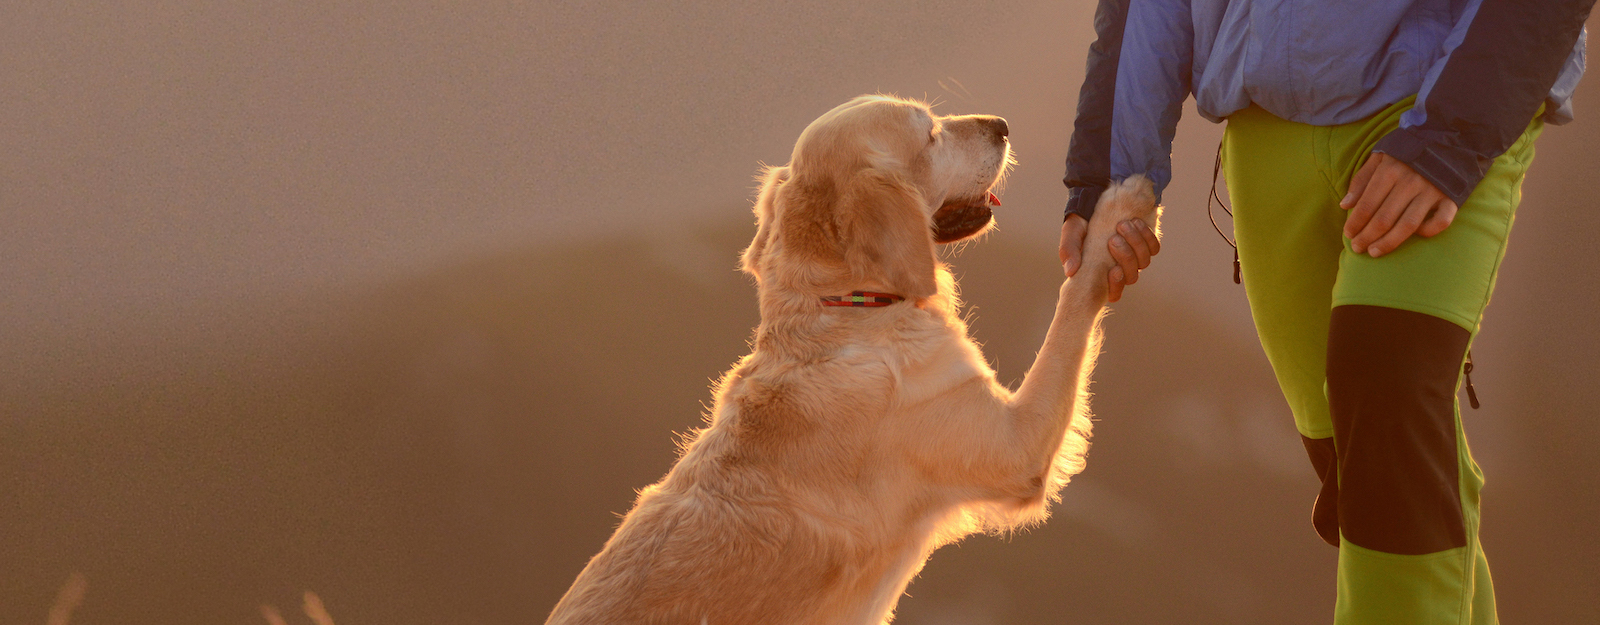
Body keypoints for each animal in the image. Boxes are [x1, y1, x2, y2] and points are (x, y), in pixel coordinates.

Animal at [544, 95, 1158, 625]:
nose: (1002, 124)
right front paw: (1118, 213)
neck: (847, 309)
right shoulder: (1015, 445)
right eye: (930, 135)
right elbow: (1073, 303)